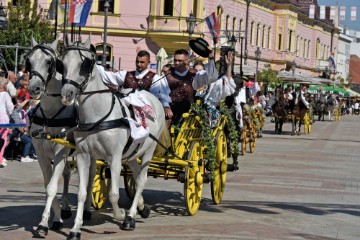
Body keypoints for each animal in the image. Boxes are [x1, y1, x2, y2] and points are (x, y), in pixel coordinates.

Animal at [27, 38, 93, 236]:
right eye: (29, 61)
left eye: (50, 62)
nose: (34, 88)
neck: (50, 113)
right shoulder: (42, 154)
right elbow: (49, 185)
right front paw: (56, 219)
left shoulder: (60, 152)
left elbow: (51, 188)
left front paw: (43, 224)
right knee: (67, 174)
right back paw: (65, 209)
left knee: (91, 177)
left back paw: (87, 210)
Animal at [59, 38, 166, 239]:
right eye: (62, 64)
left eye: (85, 64)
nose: (66, 95)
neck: (98, 115)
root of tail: (151, 96)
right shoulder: (83, 156)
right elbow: (82, 192)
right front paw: (76, 229)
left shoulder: (114, 158)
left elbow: (114, 194)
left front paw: (121, 215)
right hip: (132, 153)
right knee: (136, 174)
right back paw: (141, 207)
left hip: (148, 151)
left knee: (142, 180)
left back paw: (130, 216)